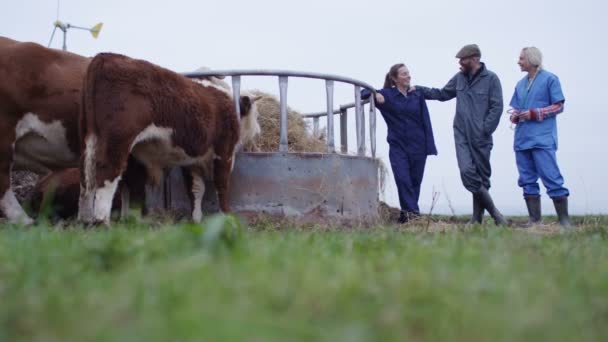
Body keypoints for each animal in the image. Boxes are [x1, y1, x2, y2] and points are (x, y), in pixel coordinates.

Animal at [76, 52, 258, 224]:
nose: (256, 131)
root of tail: (105, 56)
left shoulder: (191, 159)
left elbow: (196, 189)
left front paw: (196, 219)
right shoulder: (224, 151)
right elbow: (222, 184)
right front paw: (227, 217)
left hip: (90, 138)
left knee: (87, 177)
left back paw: (85, 221)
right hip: (117, 140)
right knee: (108, 174)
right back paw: (102, 222)